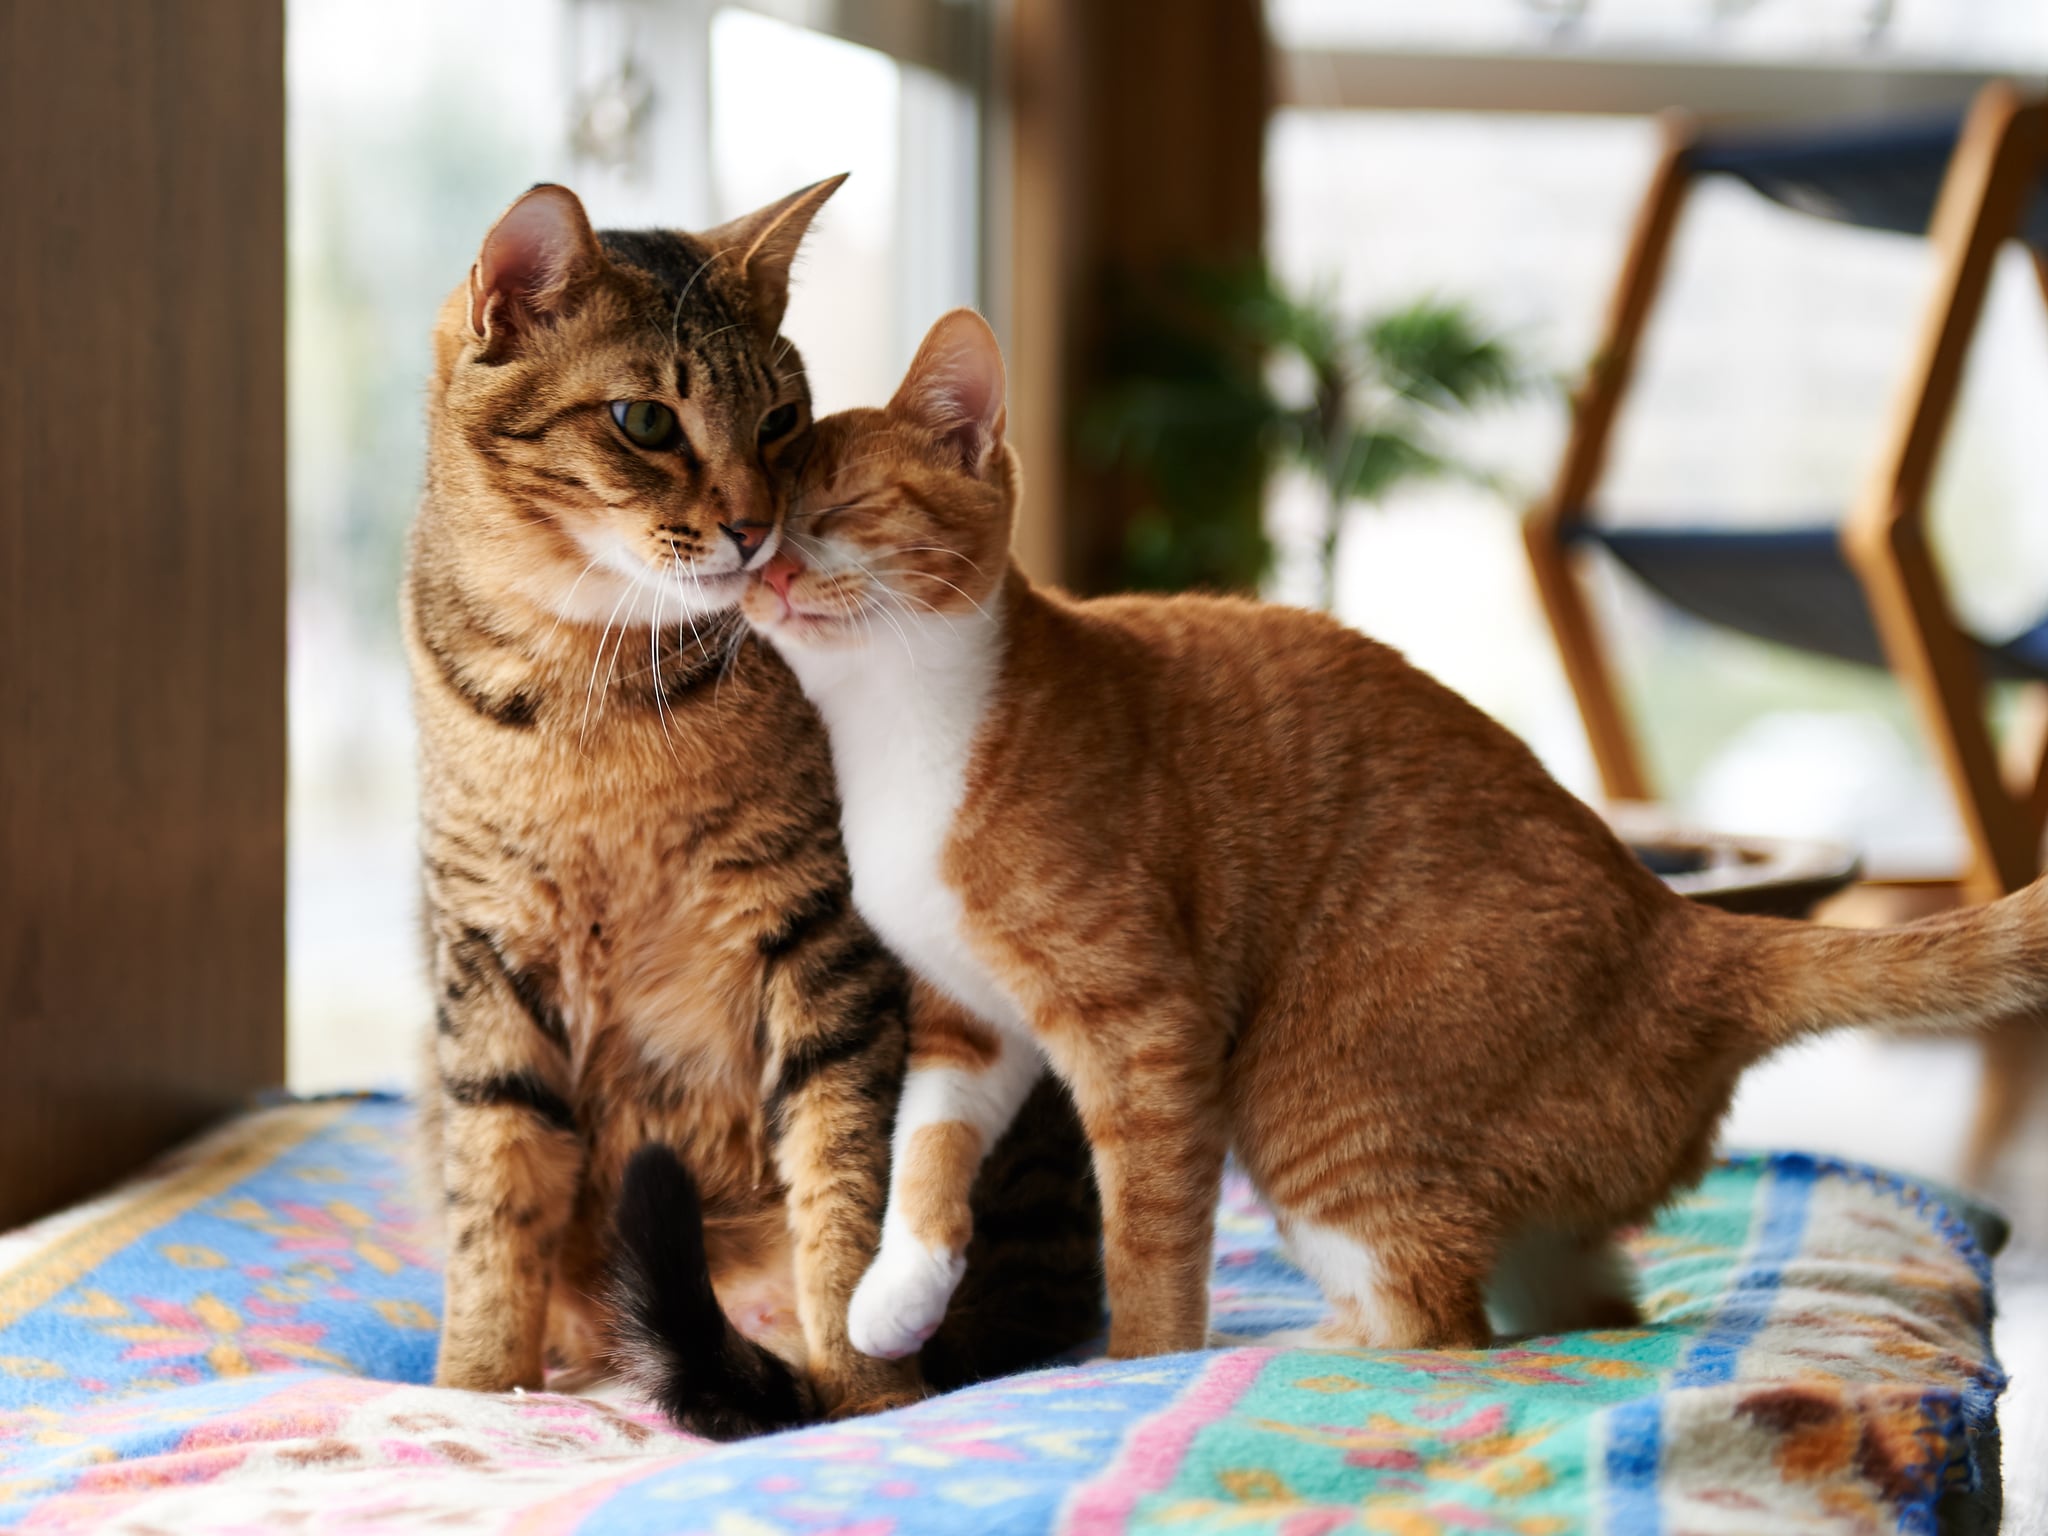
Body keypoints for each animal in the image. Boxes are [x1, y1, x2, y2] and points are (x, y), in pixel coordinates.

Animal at [745, 307, 2048, 1368]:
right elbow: (924, 1146)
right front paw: (893, 1295)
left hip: (1314, 1097)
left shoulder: (1142, 1027)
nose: (760, 568)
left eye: (833, 513)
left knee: (1433, 1322)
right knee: (1582, 1312)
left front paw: (1136, 1372)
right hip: (1519, 1211)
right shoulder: (969, 1016)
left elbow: (1149, 1242)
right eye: (755, 528)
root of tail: (1680, 928)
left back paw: (1300, 1357)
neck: (896, 731)